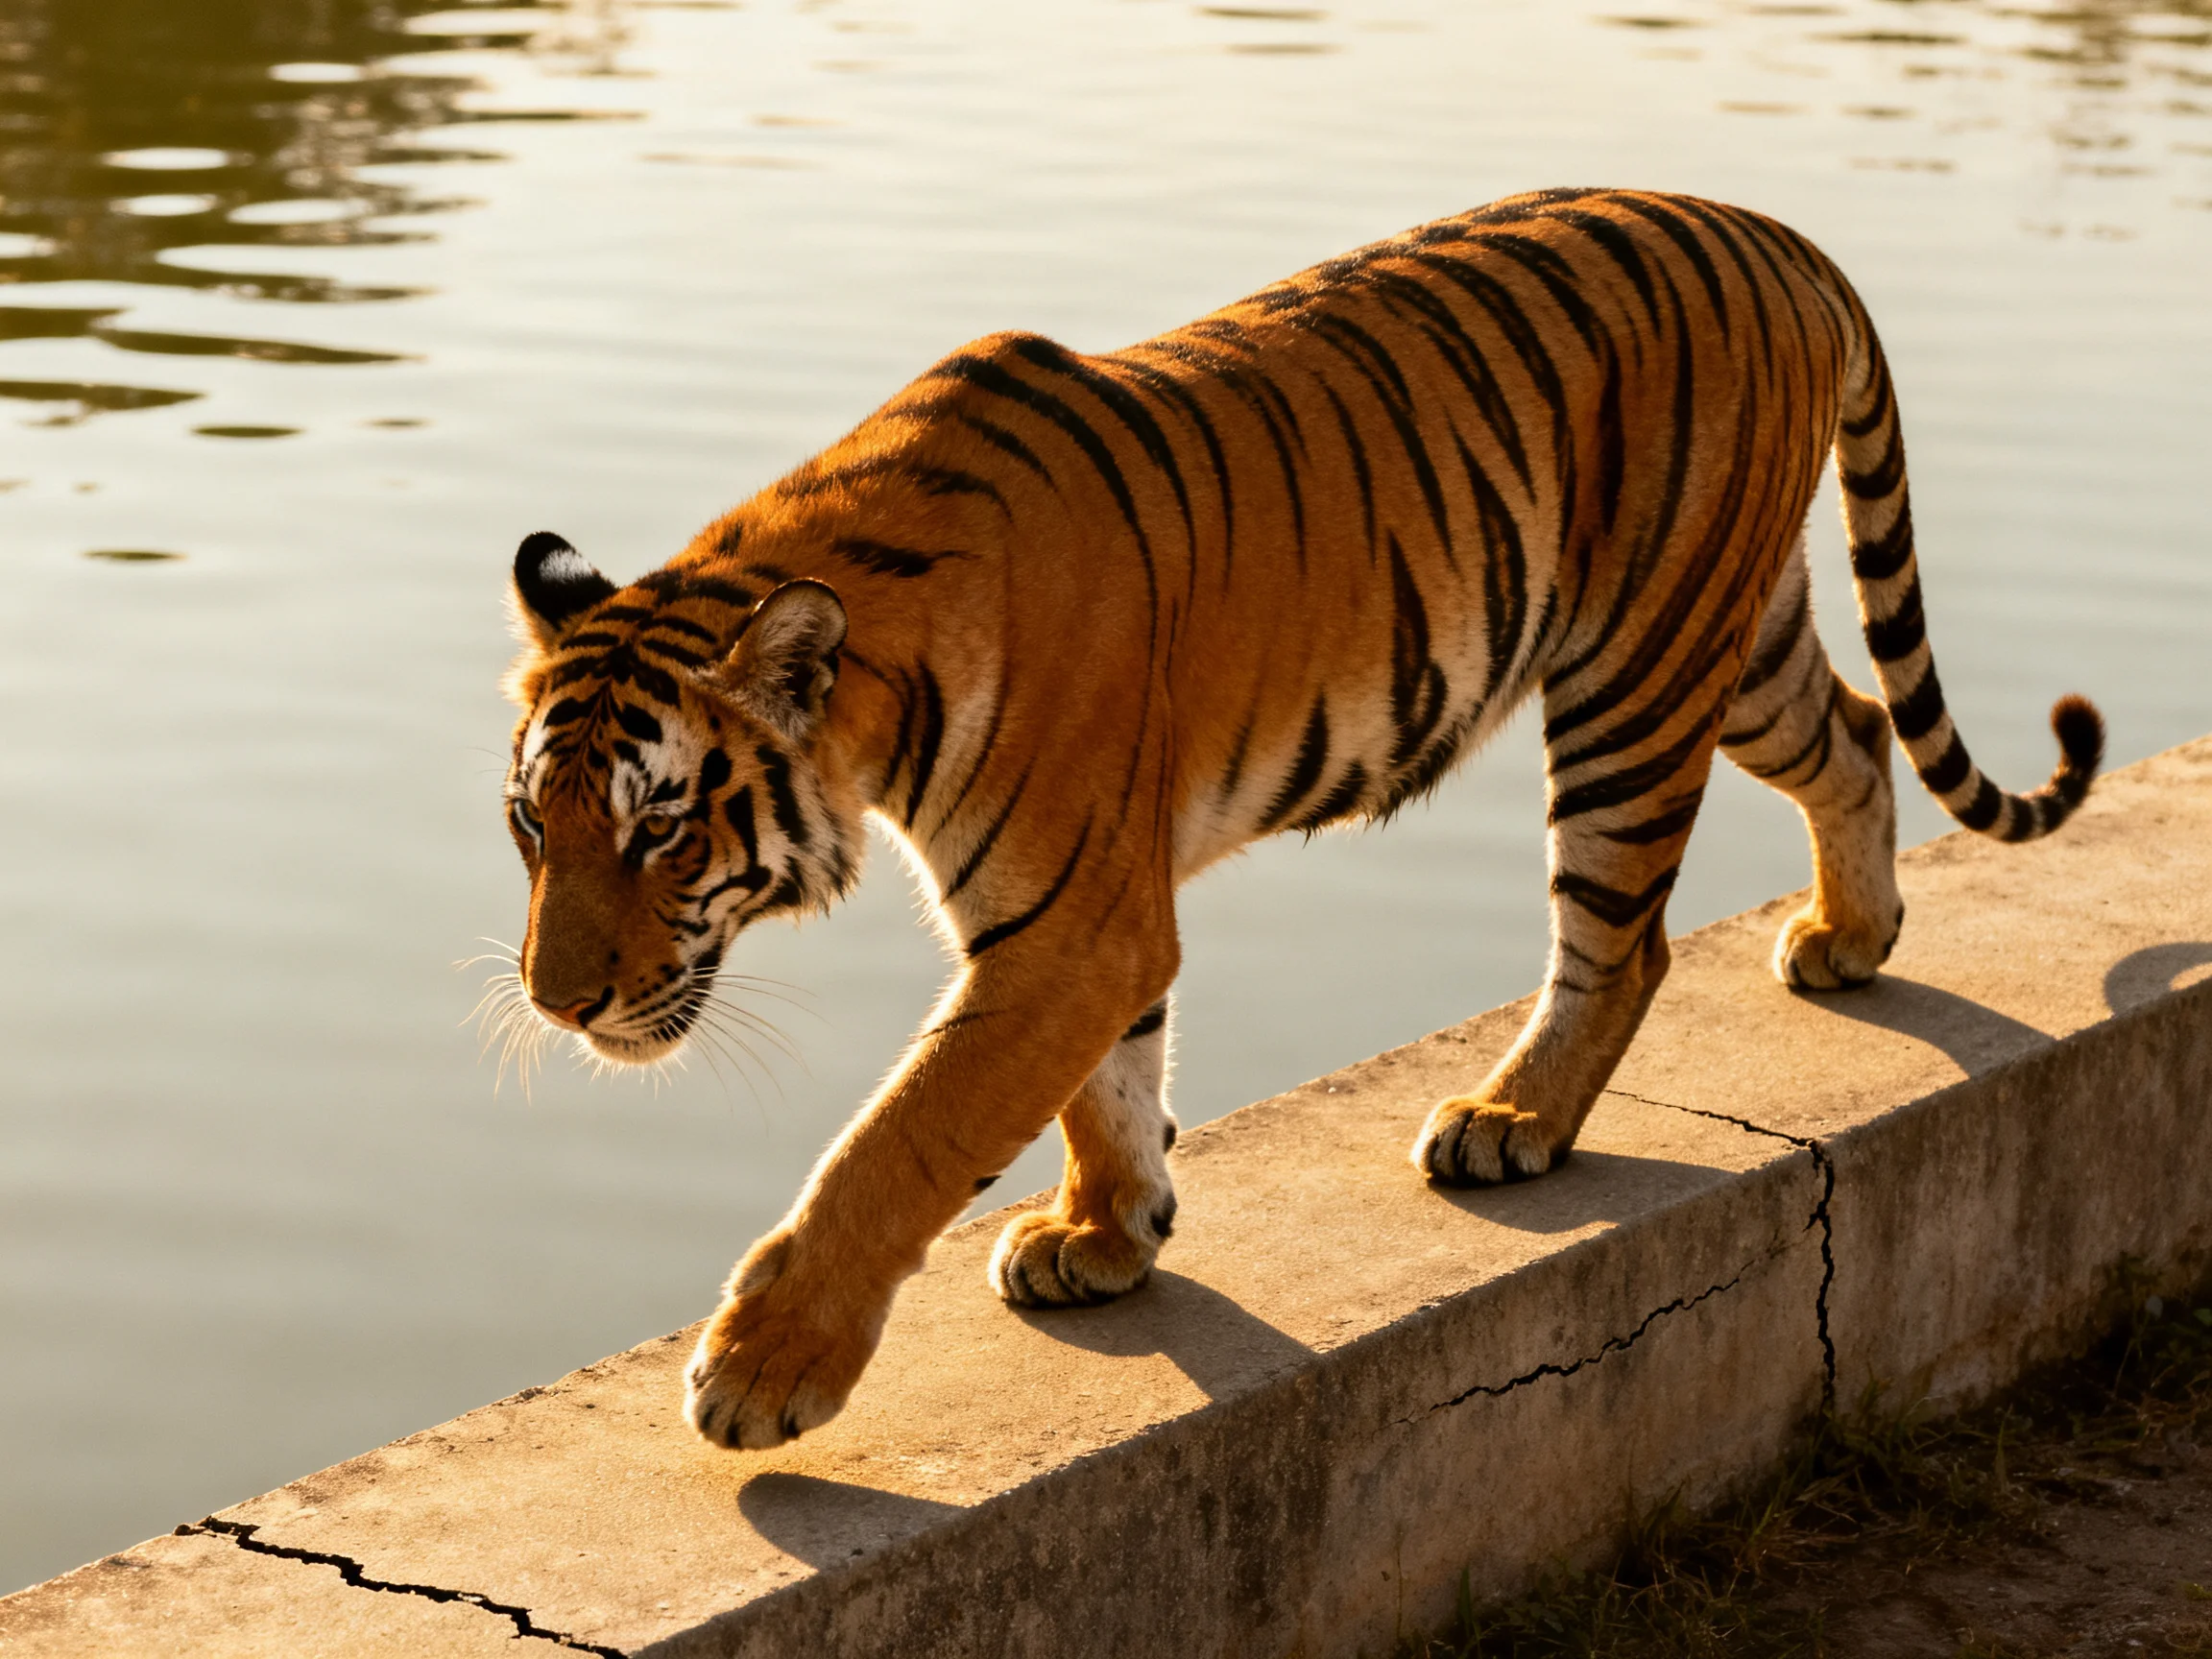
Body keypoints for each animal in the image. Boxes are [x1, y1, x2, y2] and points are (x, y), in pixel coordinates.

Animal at [498, 187, 2102, 1452]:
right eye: (532, 829)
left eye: (658, 829)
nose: (557, 1004)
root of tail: (1771, 230)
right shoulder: (1078, 920)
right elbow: (1109, 1083)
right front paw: (1108, 1235)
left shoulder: (1067, 923)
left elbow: (902, 1137)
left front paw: (762, 1371)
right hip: (1734, 636)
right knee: (1860, 733)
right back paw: (1848, 937)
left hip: (1635, 680)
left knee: (1624, 940)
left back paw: (1512, 1120)